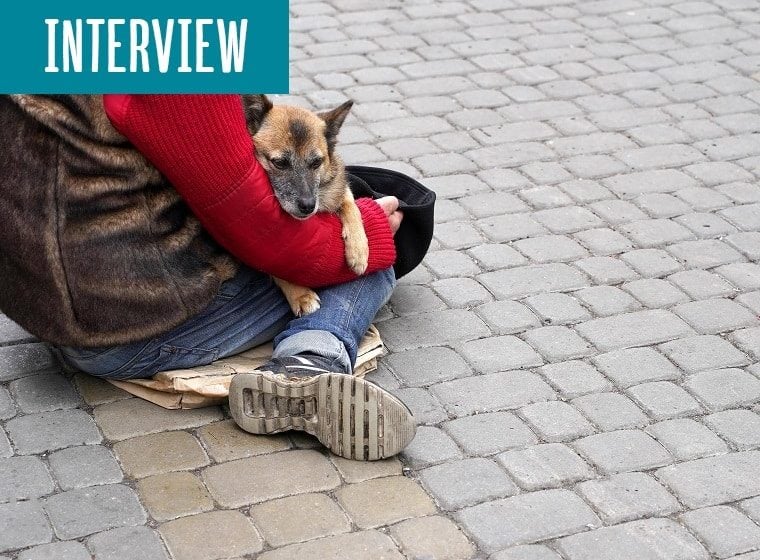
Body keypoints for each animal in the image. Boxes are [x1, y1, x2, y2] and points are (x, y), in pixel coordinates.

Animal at [239, 94, 366, 318]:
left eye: (316, 163)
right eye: (280, 163)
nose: (308, 206)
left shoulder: (337, 188)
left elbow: (350, 205)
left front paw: (359, 250)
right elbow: (278, 266)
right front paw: (300, 295)